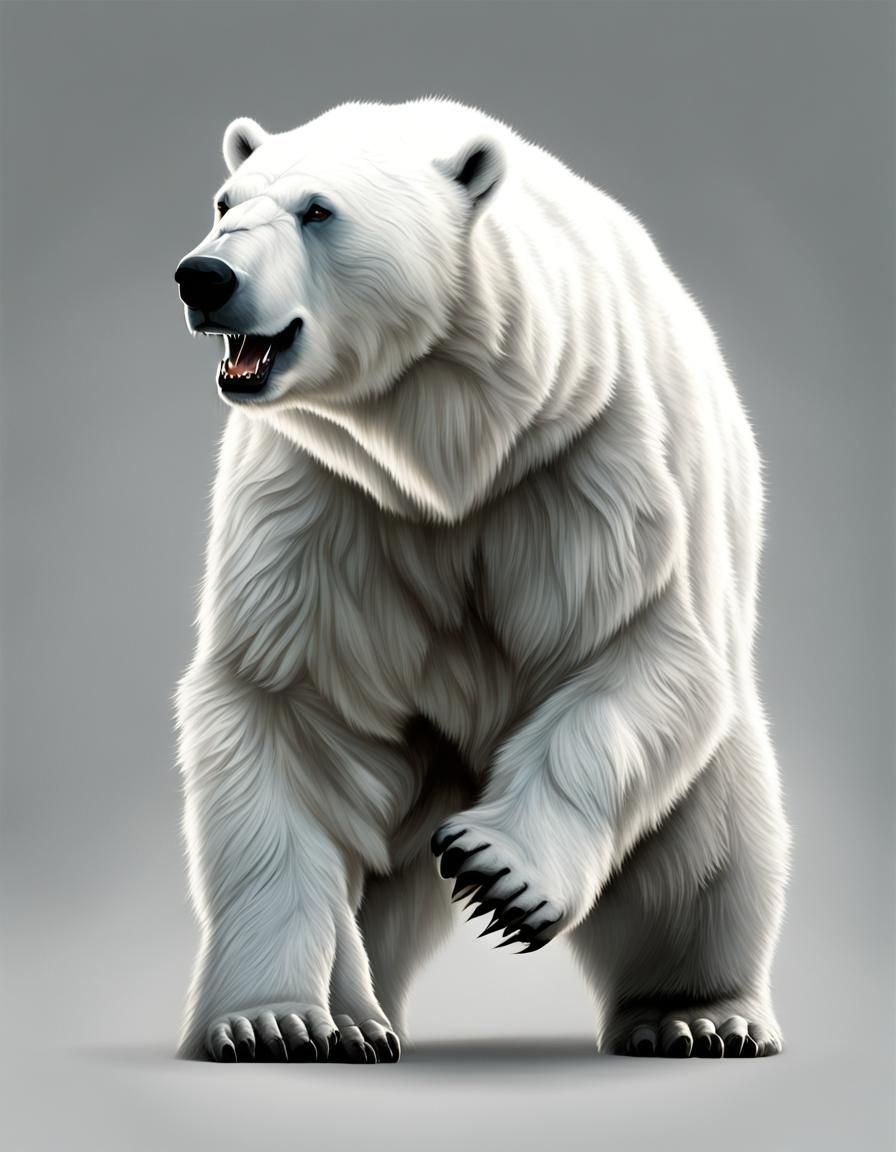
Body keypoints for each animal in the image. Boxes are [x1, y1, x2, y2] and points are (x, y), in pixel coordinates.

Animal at [173, 96, 790, 1063]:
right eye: (224, 201)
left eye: (318, 210)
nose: (203, 276)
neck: (448, 449)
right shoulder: (325, 493)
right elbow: (289, 709)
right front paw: (277, 1020)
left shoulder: (589, 453)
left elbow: (639, 646)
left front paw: (495, 871)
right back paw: (362, 1015)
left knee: (707, 848)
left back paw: (697, 1013)